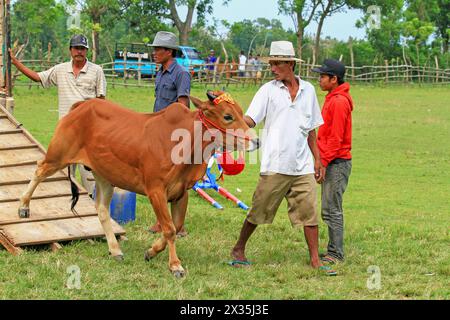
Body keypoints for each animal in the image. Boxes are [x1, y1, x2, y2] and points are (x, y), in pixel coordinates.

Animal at [17, 90, 258, 278]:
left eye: (239, 112)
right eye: (228, 116)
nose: (256, 141)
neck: (185, 142)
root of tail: (81, 106)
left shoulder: (182, 193)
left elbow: (176, 225)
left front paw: (151, 251)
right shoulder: (155, 191)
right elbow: (169, 228)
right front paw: (175, 266)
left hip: (105, 176)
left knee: (102, 210)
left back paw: (115, 250)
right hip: (57, 157)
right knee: (38, 170)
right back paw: (23, 206)